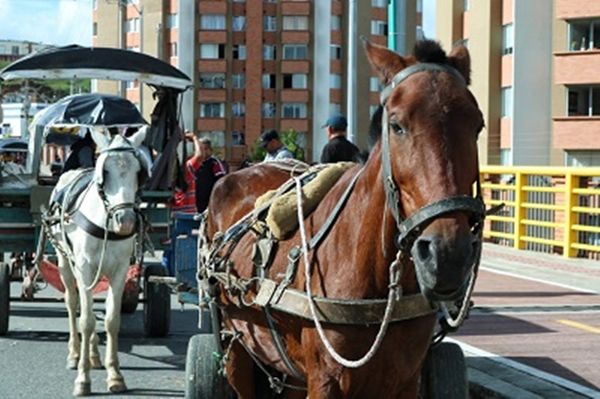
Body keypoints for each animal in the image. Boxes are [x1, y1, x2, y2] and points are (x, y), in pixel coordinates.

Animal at [46, 129, 149, 396]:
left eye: (138, 172)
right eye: (106, 172)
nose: (125, 220)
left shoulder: (120, 271)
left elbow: (111, 320)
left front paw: (115, 376)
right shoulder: (84, 268)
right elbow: (86, 320)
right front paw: (83, 379)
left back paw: (93, 355)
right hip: (66, 262)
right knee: (73, 304)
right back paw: (75, 354)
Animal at [204, 40, 486, 399]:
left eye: (477, 125)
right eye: (397, 125)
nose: (447, 254)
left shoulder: (406, 379)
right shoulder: (325, 380)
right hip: (236, 345)